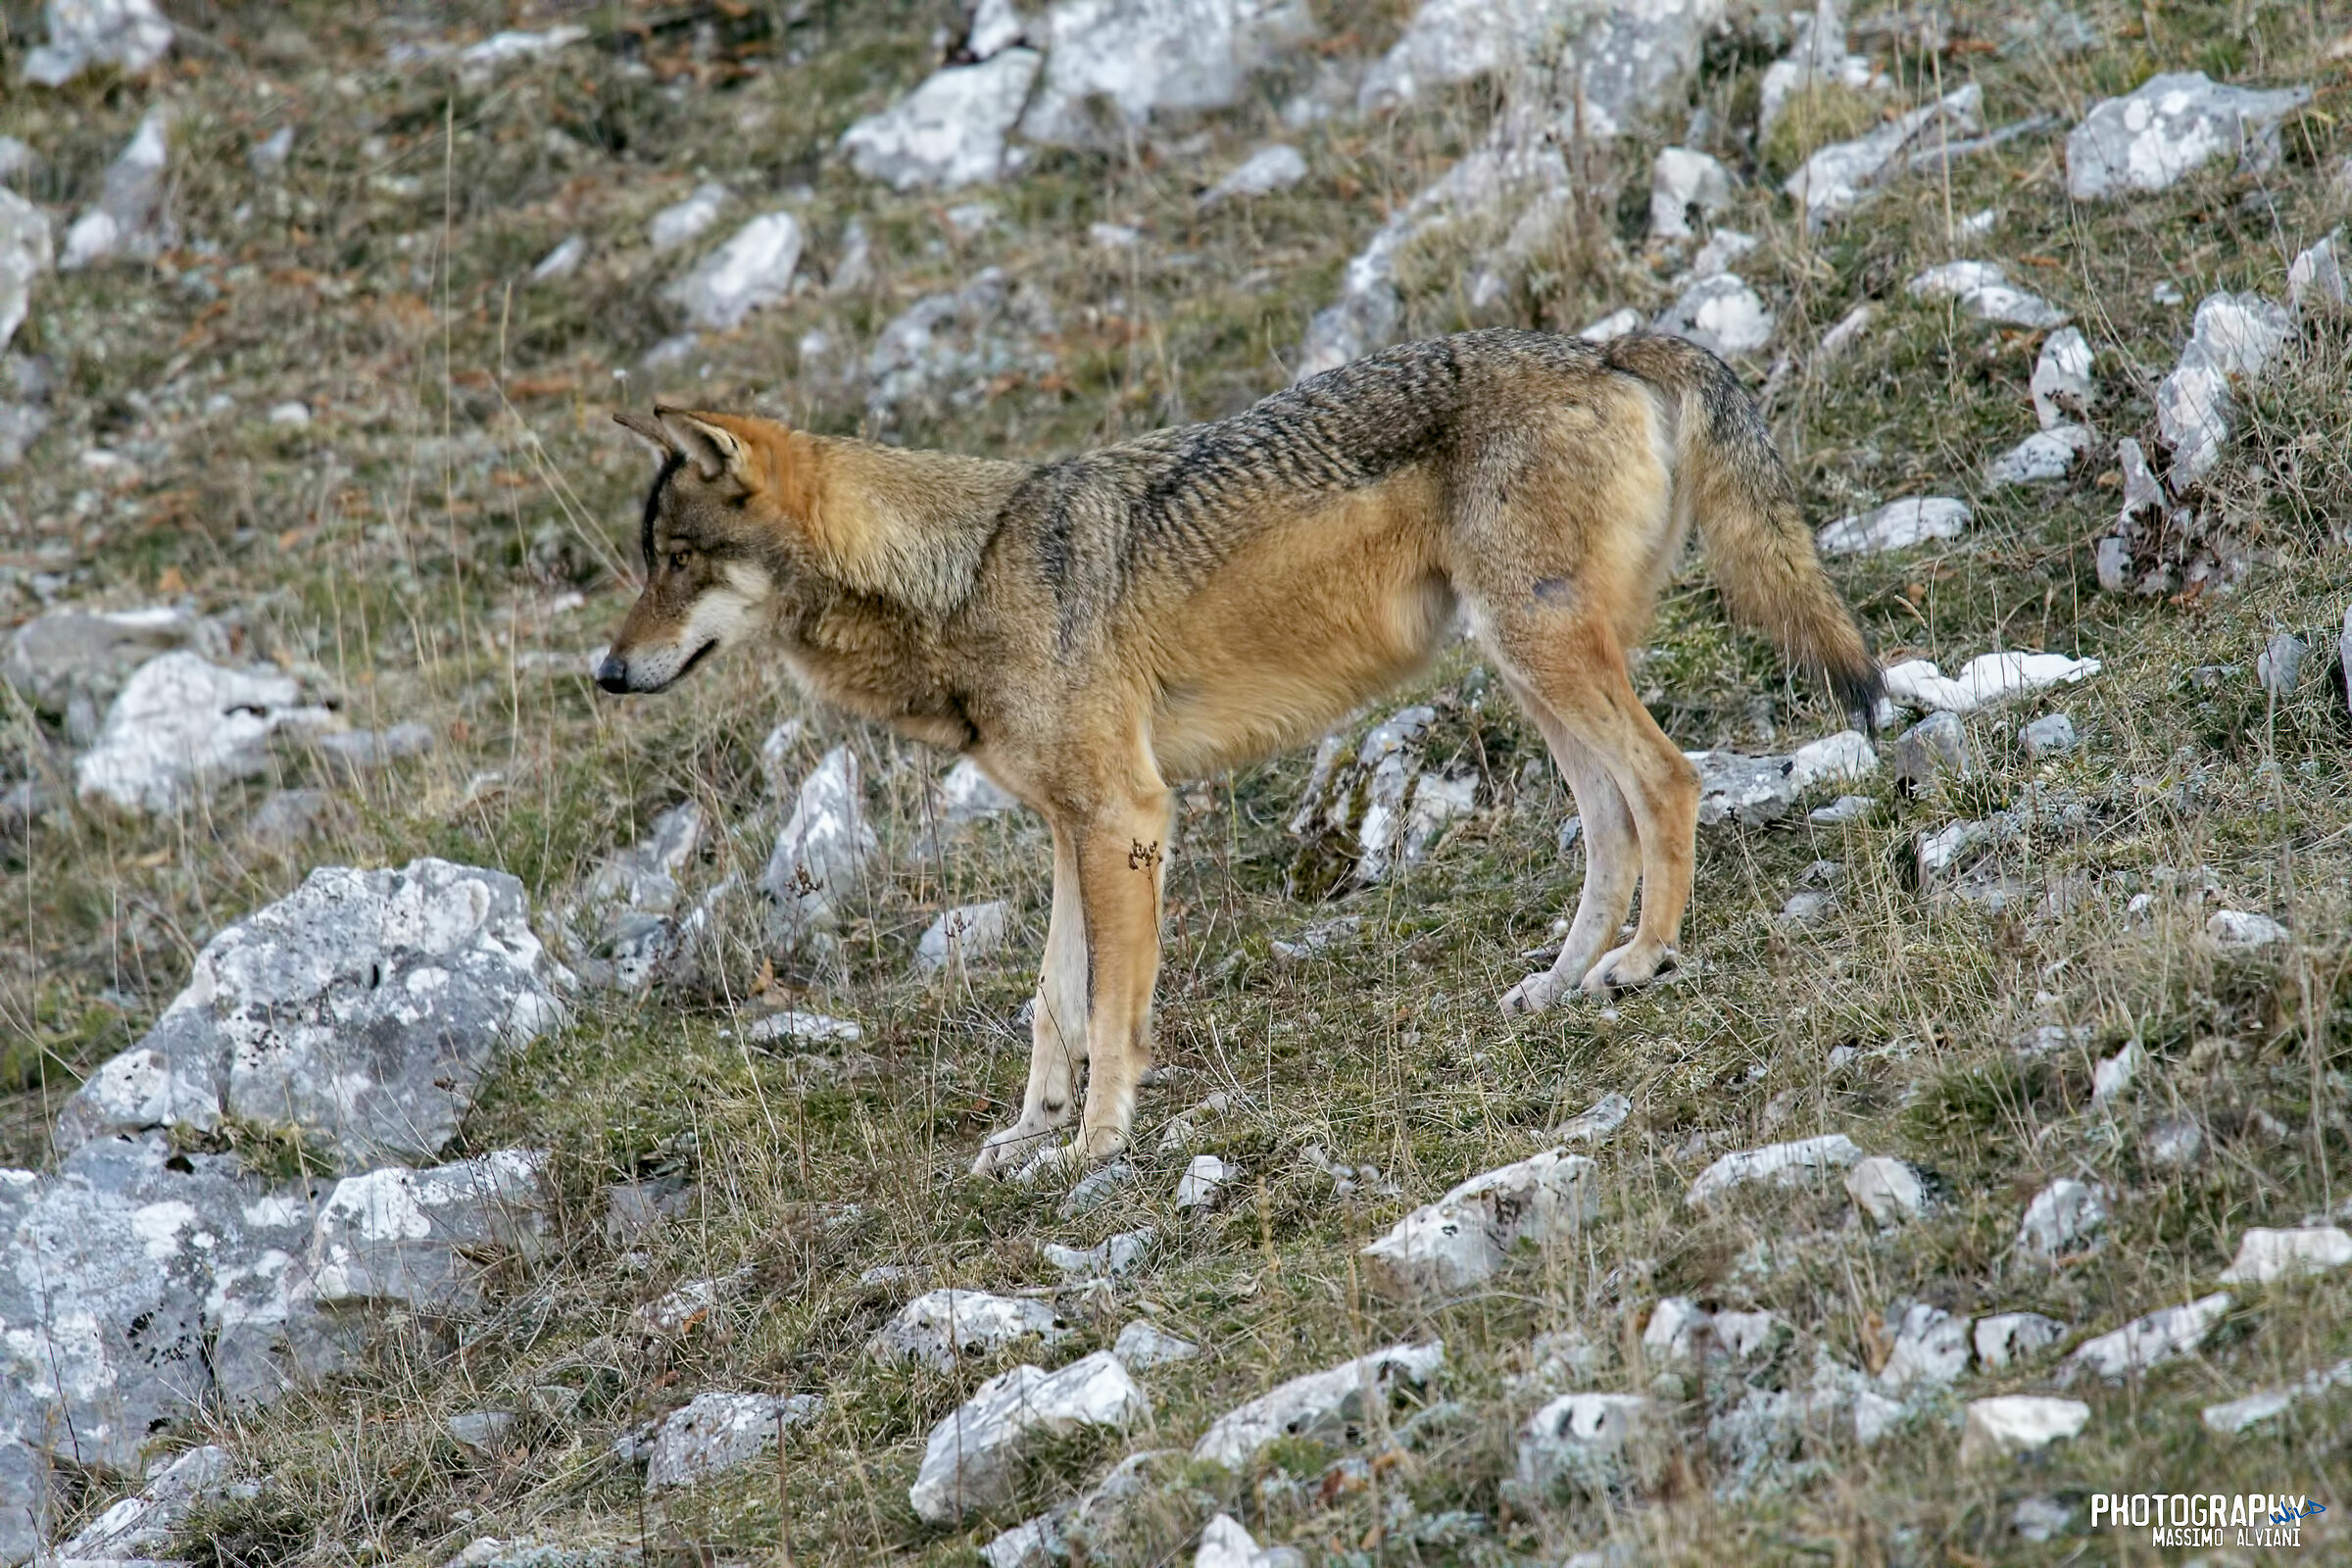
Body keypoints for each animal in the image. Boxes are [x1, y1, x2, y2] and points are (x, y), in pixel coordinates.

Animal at [597, 328, 1880, 1175]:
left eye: (678, 562)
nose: (606, 673)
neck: (959, 577)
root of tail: (1610, 342)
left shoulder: (1127, 816)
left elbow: (1110, 1011)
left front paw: (1096, 1145)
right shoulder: (1069, 828)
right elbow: (1050, 1002)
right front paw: (1028, 1132)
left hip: (1542, 657)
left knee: (1670, 779)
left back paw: (1644, 960)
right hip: (1525, 669)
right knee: (1610, 826)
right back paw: (1564, 980)